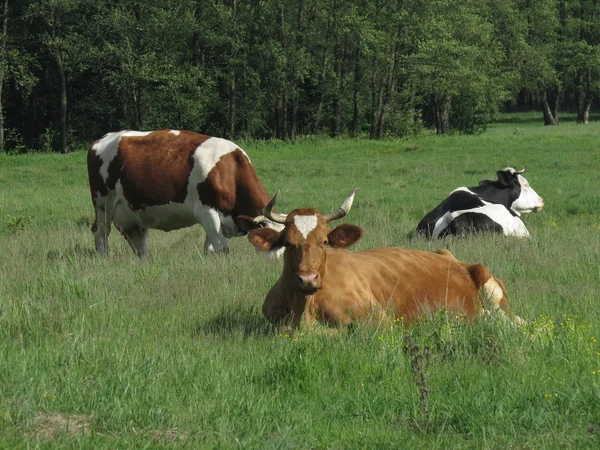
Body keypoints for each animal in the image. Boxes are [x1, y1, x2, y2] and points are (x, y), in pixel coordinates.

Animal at [87, 130, 286, 256]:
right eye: (271, 241)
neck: (229, 169)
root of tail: (101, 139)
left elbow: (210, 249)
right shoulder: (206, 212)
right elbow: (222, 248)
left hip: (132, 213)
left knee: (139, 241)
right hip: (103, 202)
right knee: (101, 232)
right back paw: (104, 258)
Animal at [246, 188, 524, 328]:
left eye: (324, 241)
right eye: (287, 243)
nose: (307, 278)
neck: (305, 310)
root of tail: (451, 257)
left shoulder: (379, 320)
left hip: (493, 295)